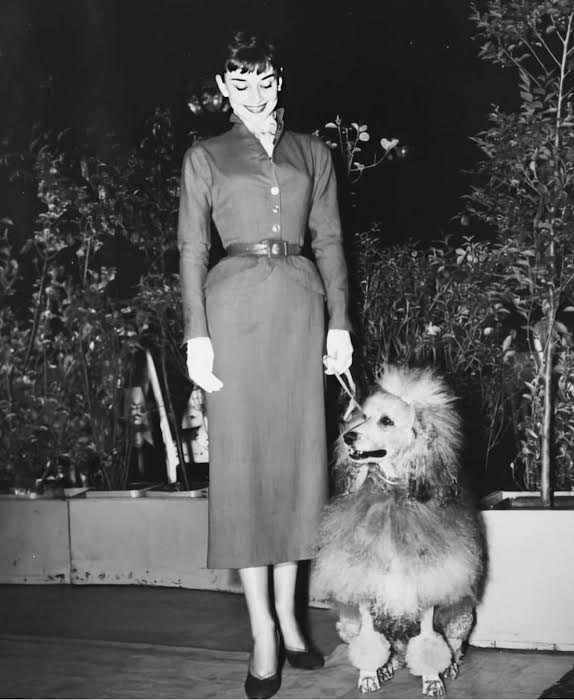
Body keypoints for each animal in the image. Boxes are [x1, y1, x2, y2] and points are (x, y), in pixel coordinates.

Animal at [312, 365, 486, 697]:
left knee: (453, 644)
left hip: (461, 616)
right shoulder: (366, 589)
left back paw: (450, 666)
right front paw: (369, 676)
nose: (348, 436)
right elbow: (370, 643)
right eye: (362, 416)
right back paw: (388, 666)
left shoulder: (426, 588)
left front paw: (433, 680)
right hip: (348, 622)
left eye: (387, 421)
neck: (391, 499)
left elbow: (429, 643)